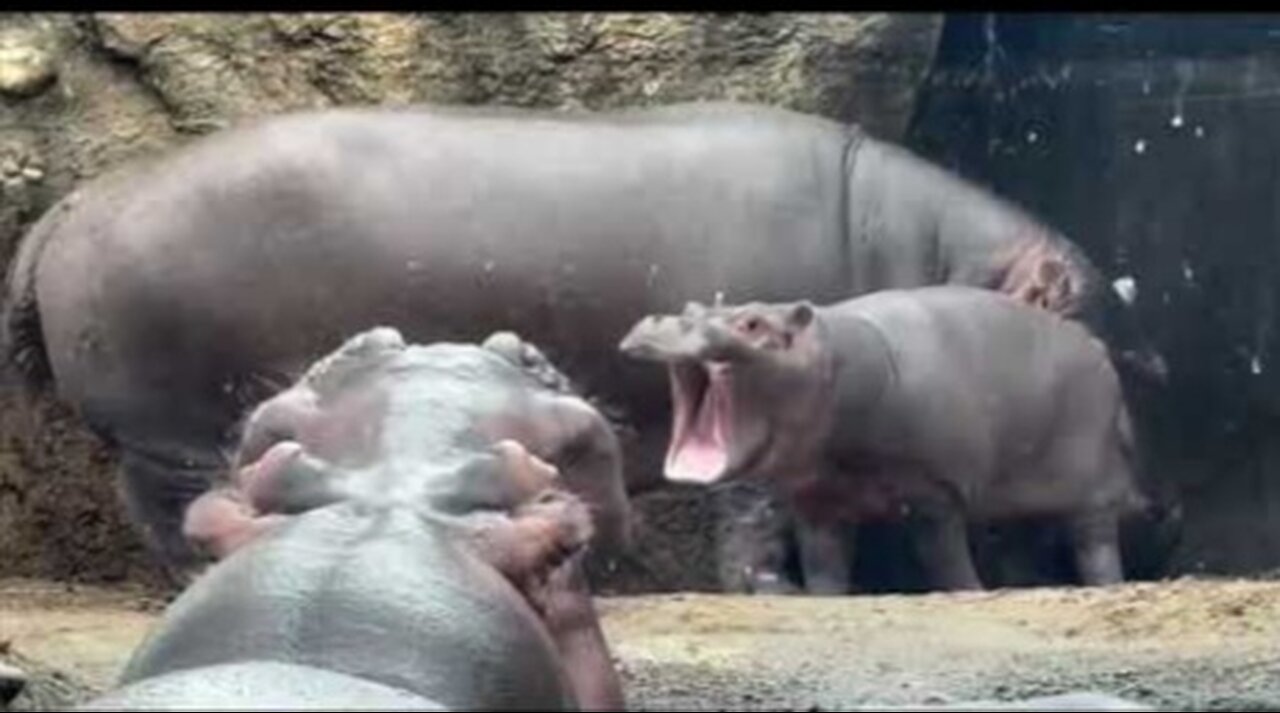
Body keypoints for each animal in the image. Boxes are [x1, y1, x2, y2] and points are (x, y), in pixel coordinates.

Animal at [0, 101, 1162, 578]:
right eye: (1087, 324)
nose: (1162, 515)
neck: (936, 251)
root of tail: (72, 204)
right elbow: (751, 510)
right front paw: (771, 586)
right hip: (171, 422)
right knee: (164, 500)